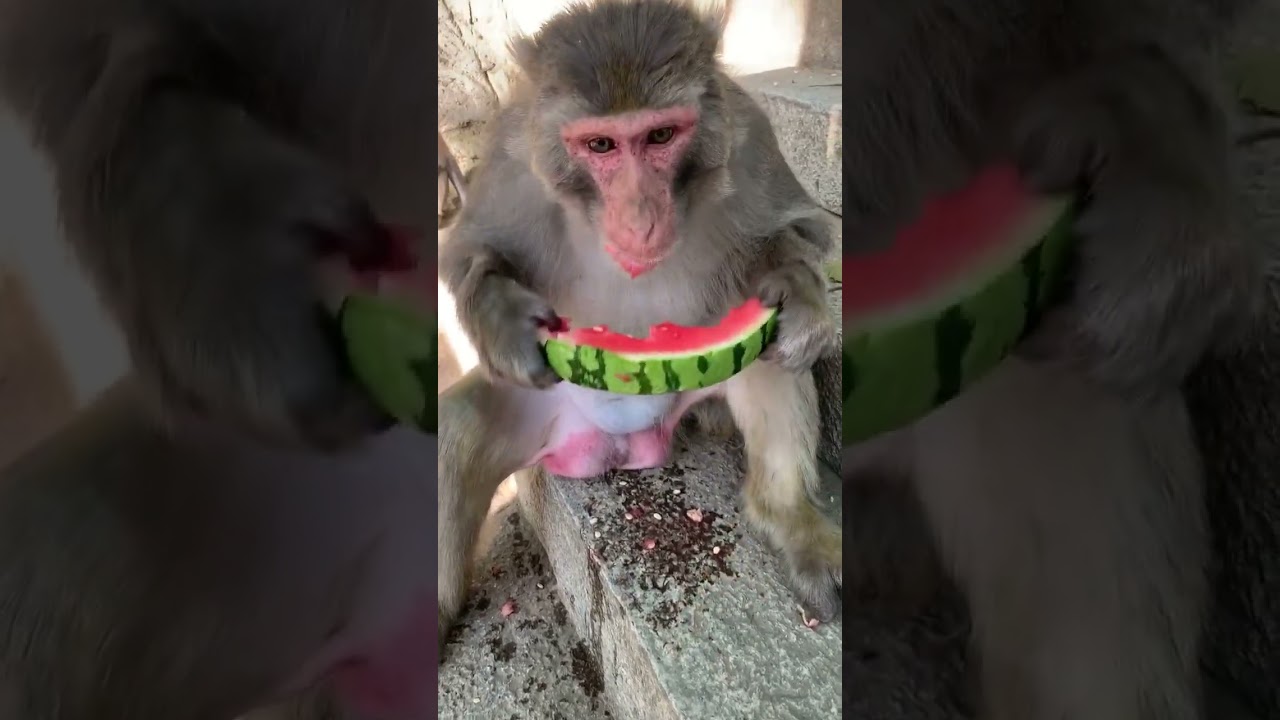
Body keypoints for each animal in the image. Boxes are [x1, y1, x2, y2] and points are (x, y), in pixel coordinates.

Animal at [434, 0, 842, 649]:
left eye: (660, 136)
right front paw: (503, 324)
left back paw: (790, 519)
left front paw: (801, 296)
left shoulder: (748, 138)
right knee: (454, 430)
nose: (640, 216)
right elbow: (471, 254)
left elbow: (797, 232)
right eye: (600, 144)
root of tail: (624, 449)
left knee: (769, 356)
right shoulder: (509, 161)